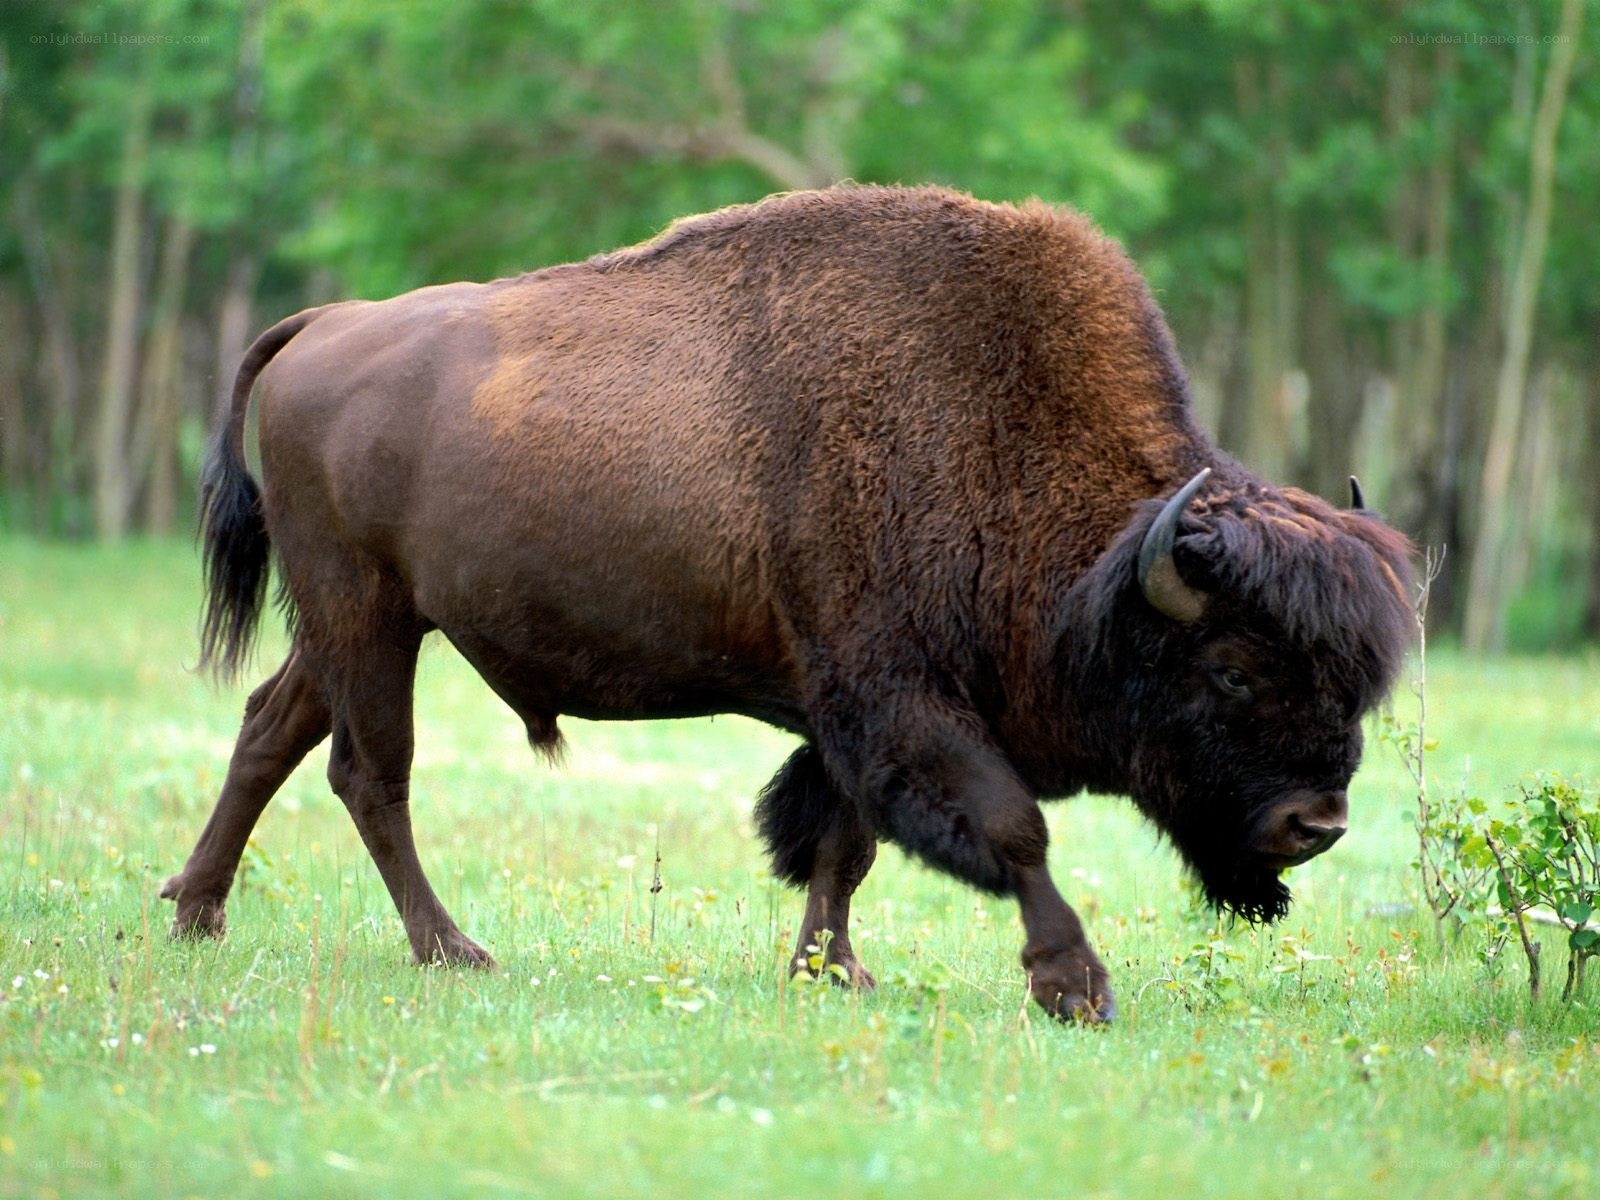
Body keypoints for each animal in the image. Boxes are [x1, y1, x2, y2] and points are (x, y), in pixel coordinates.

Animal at [161, 184, 1413, 1021]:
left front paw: (833, 968)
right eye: (1231, 670)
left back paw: (194, 910)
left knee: (271, 730)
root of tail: (325, 323)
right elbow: (1011, 826)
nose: (1315, 824)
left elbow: (843, 843)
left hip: (358, 622)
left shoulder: (851, 711)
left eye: (1353, 682)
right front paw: (1074, 986)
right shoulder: (898, 698)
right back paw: (449, 948)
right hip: (365, 613)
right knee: (370, 773)